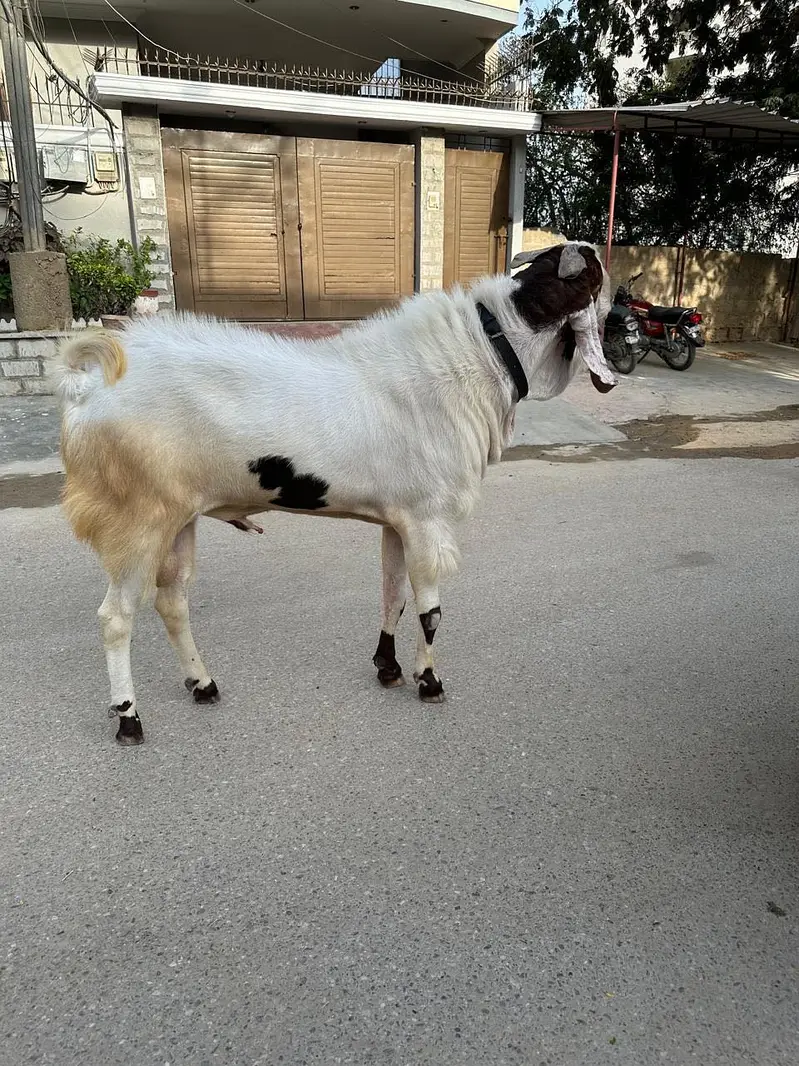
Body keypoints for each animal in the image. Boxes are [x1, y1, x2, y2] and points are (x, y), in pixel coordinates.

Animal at [56, 242, 616, 745]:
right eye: (591, 278)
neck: (482, 352)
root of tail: (87, 386)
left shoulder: (399, 518)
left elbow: (393, 593)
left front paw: (388, 668)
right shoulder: (428, 518)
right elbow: (430, 611)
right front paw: (429, 681)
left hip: (178, 519)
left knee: (172, 600)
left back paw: (202, 684)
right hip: (137, 519)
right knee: (116, 618)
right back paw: (129, 719)